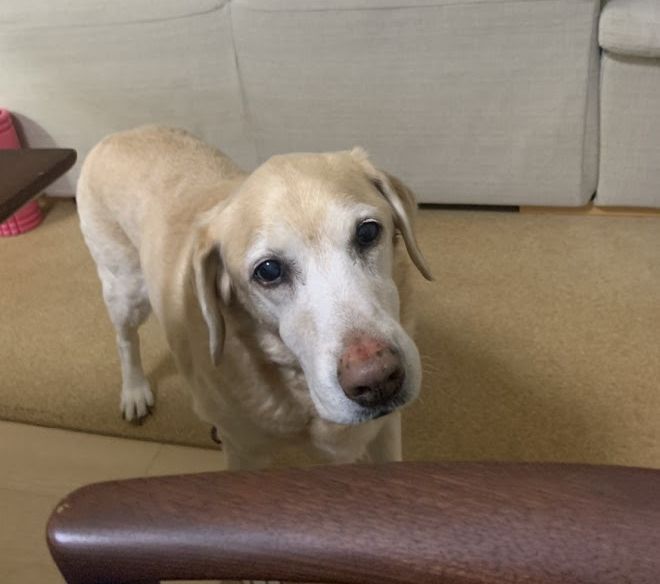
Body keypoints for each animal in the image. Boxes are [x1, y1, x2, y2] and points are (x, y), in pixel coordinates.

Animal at [77, 126, 431, 470]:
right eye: (269, 271)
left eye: (368, 232)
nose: (378, 380)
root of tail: (117, 135)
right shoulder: (244, 452)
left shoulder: (385, 431)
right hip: (126, 289)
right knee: (125, 339)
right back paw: (134, 391)